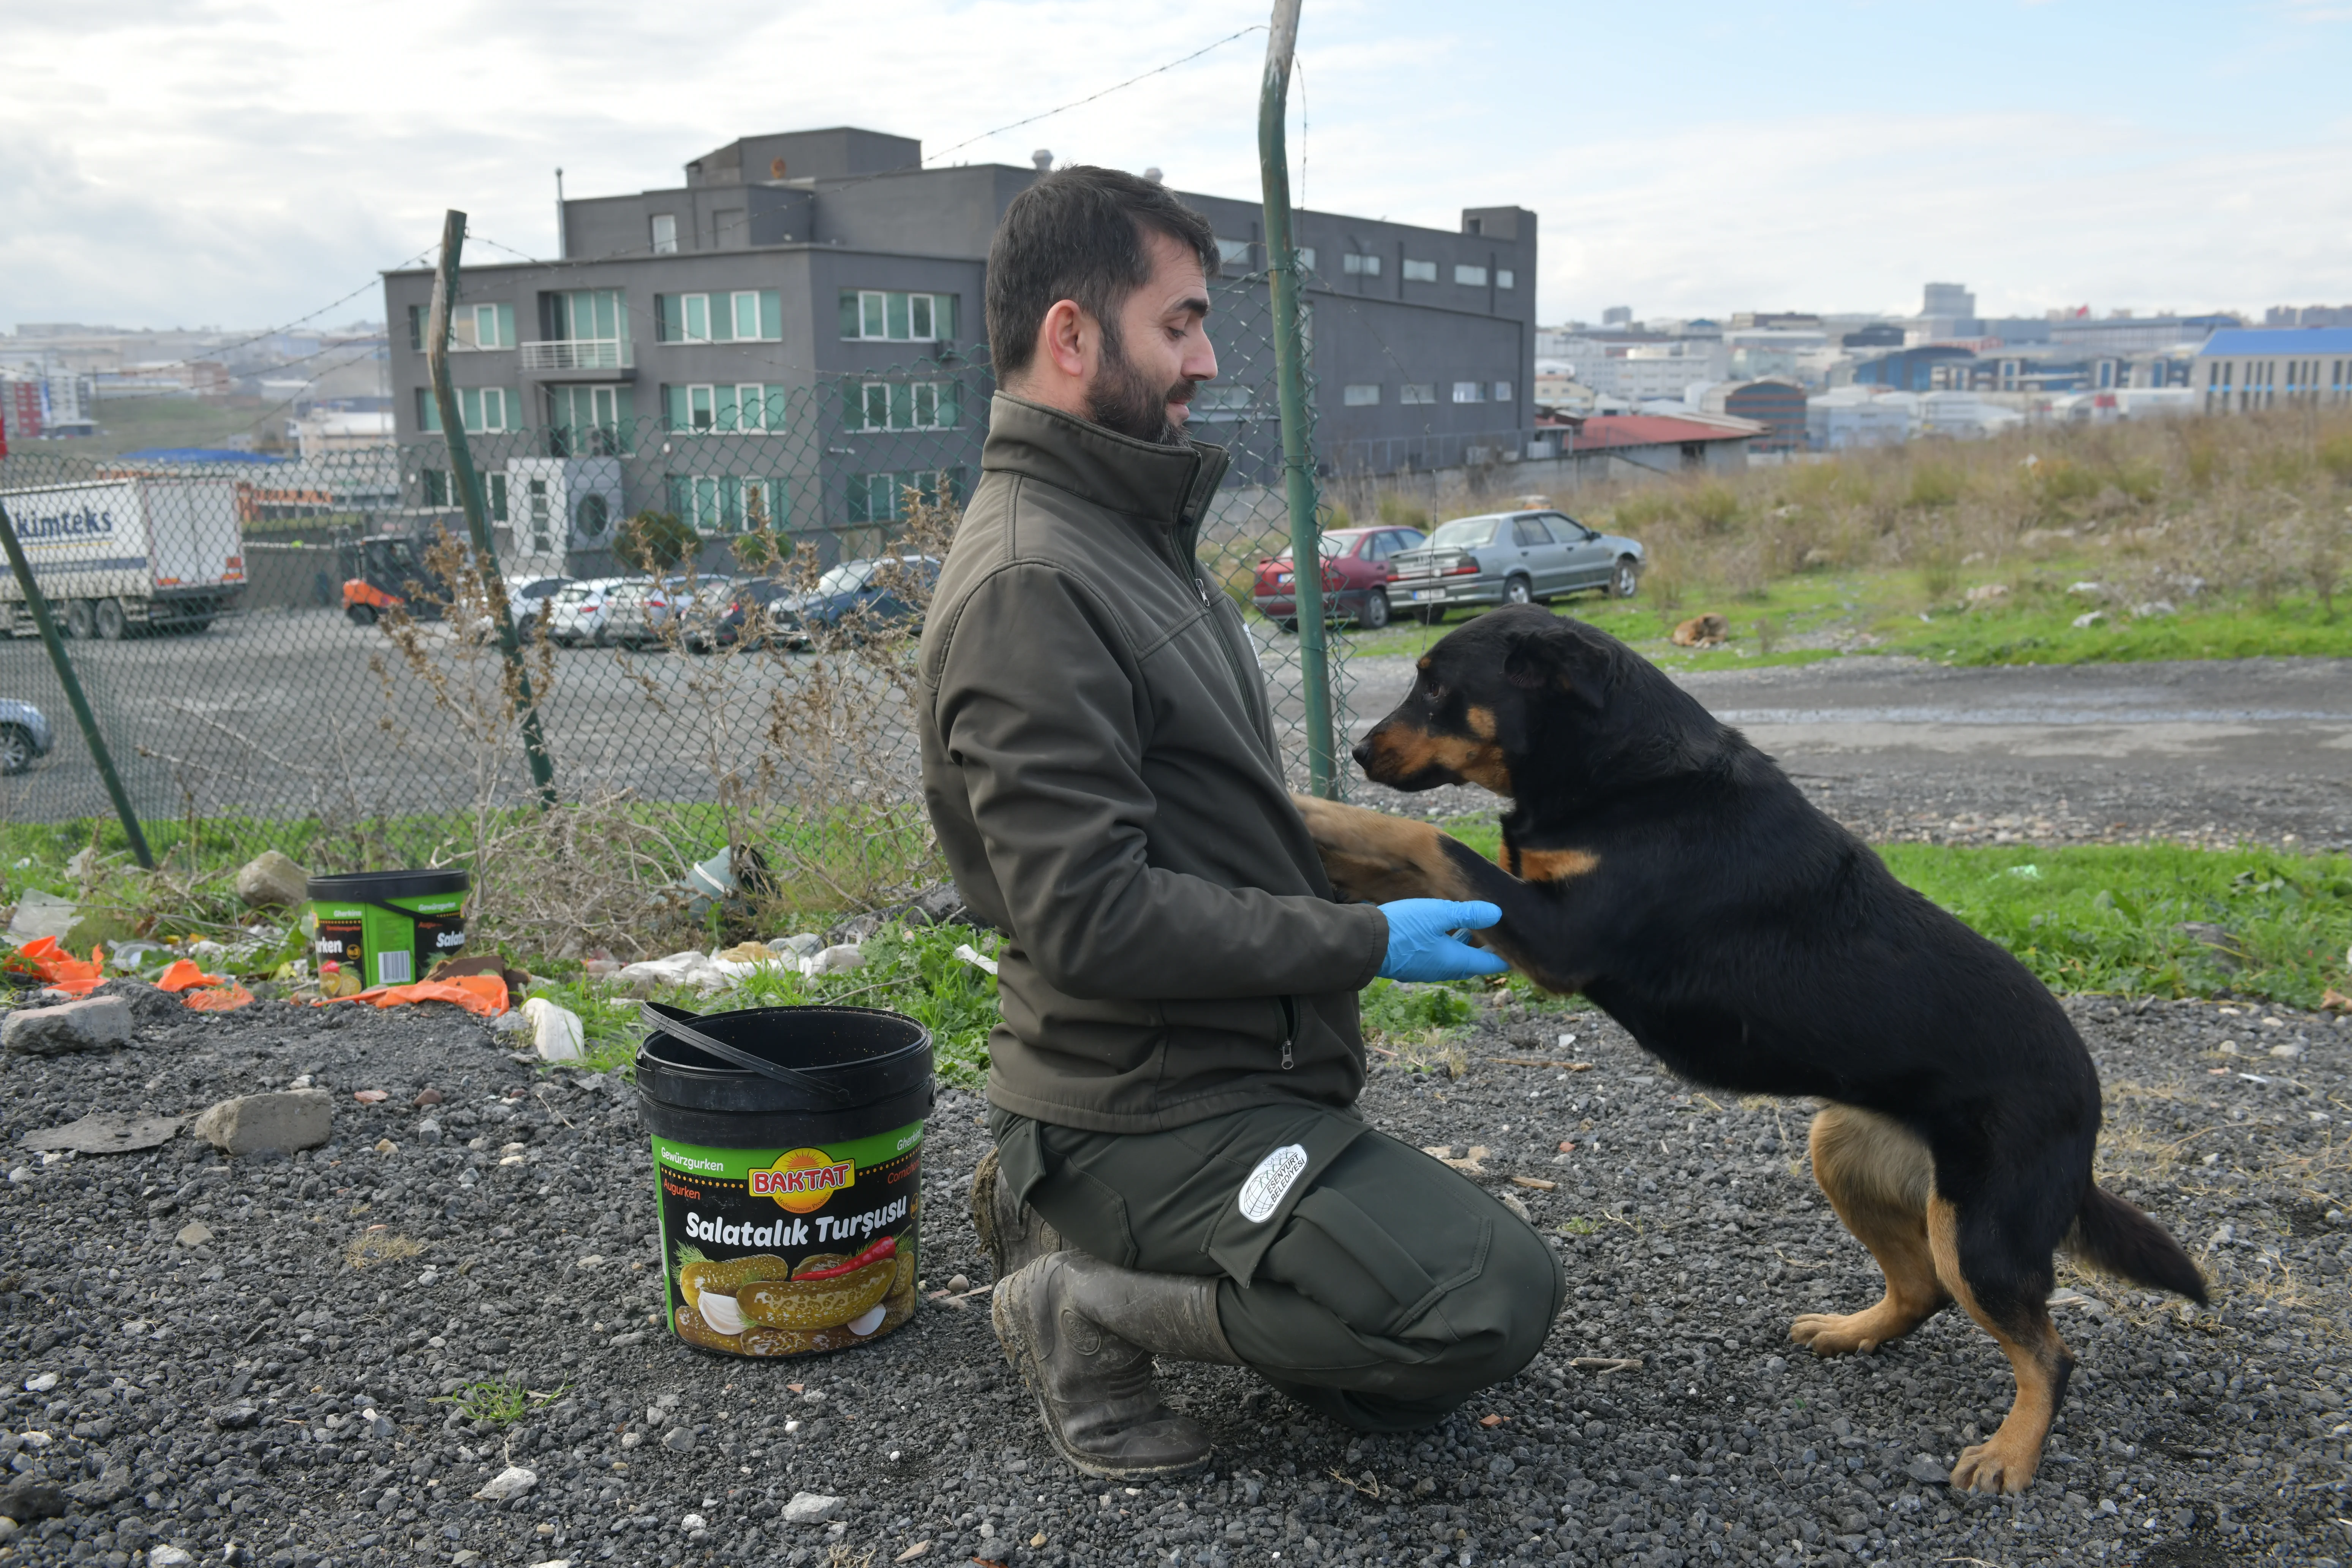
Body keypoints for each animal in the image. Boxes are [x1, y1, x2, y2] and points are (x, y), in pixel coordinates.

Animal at [1307, 606, 2201, 1495]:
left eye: (1436, 687)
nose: (1357, 754)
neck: (1619, 769)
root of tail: (2087, 1101)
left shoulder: (1558, 935)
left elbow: (1423, 836)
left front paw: (1313, 807)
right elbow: (1402, 862)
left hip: (1980, 1232)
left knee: (2048, 1353)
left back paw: (2011, 1453)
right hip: (1844, 1153)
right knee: (1921, 1289)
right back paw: (1851, 1330)